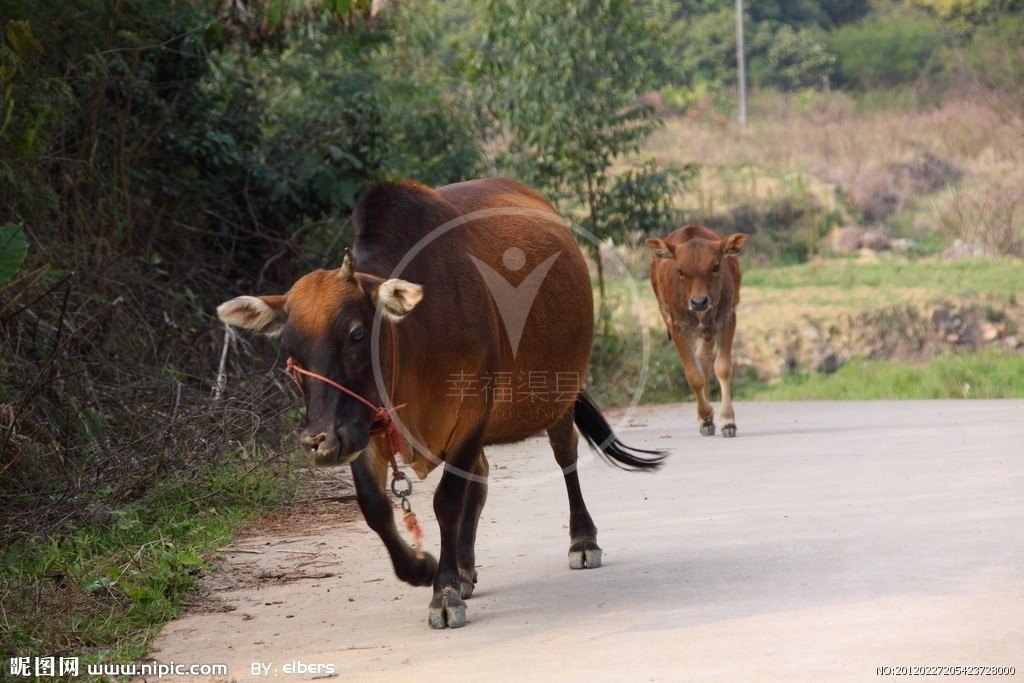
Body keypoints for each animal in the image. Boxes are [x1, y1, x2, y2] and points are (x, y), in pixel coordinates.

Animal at [218, 178, 663, 630]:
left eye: (357, 334)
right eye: (290, 349)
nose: (318, 441)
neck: (415, 336)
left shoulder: (470, 413)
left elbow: (447, 501)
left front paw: (444, 593)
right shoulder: (366, 426)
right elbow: (376, 505)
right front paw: (423, 569)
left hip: (558, 394)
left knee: (565, 456)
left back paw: (581, 540)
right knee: (480, 480)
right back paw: (465, 568)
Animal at [643, 224, 749, 438]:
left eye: (715, 266)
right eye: (680, 270)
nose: (699, 302)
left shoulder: (727, 318)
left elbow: (723, 368)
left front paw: (728, 421)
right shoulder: (677, 325)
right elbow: (693, 375)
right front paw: (706, 415)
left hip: (709, 331)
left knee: (704, 359)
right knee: (700, 362)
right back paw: (704, 420)